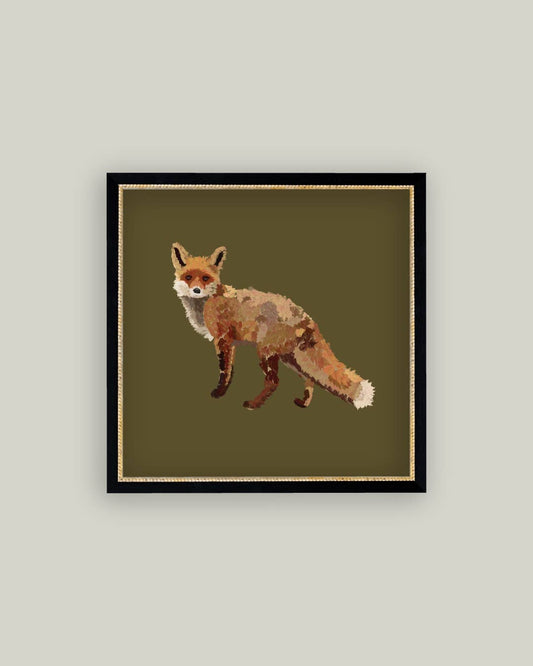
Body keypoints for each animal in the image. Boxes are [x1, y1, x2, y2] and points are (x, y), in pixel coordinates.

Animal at [171, 242, 375, 410]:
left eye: (205, 278)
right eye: (188, 277)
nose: (196, 290)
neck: (206, 302)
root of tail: (306, 317)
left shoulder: (223, 339)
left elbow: (225, 371)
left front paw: (220, 393)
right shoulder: (230, 343)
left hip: (266, 352)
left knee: (274, 382)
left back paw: (253, 405)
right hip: (290, 358)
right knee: (310, 379)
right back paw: (303, 403)